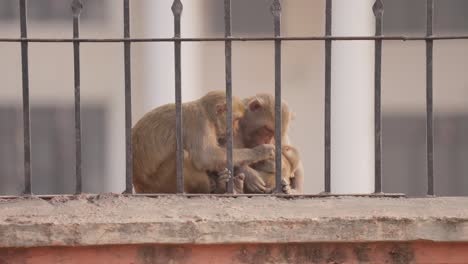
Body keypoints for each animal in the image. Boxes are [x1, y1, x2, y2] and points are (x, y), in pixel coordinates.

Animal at [132, 91, 276, 194]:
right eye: (235, 120)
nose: (235, 129)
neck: (208, 115)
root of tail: (139, 186)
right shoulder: (199, 122)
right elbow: (205, 156)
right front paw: (261, 151)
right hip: (161, 183)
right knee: (183, 155)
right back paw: (218, 189)